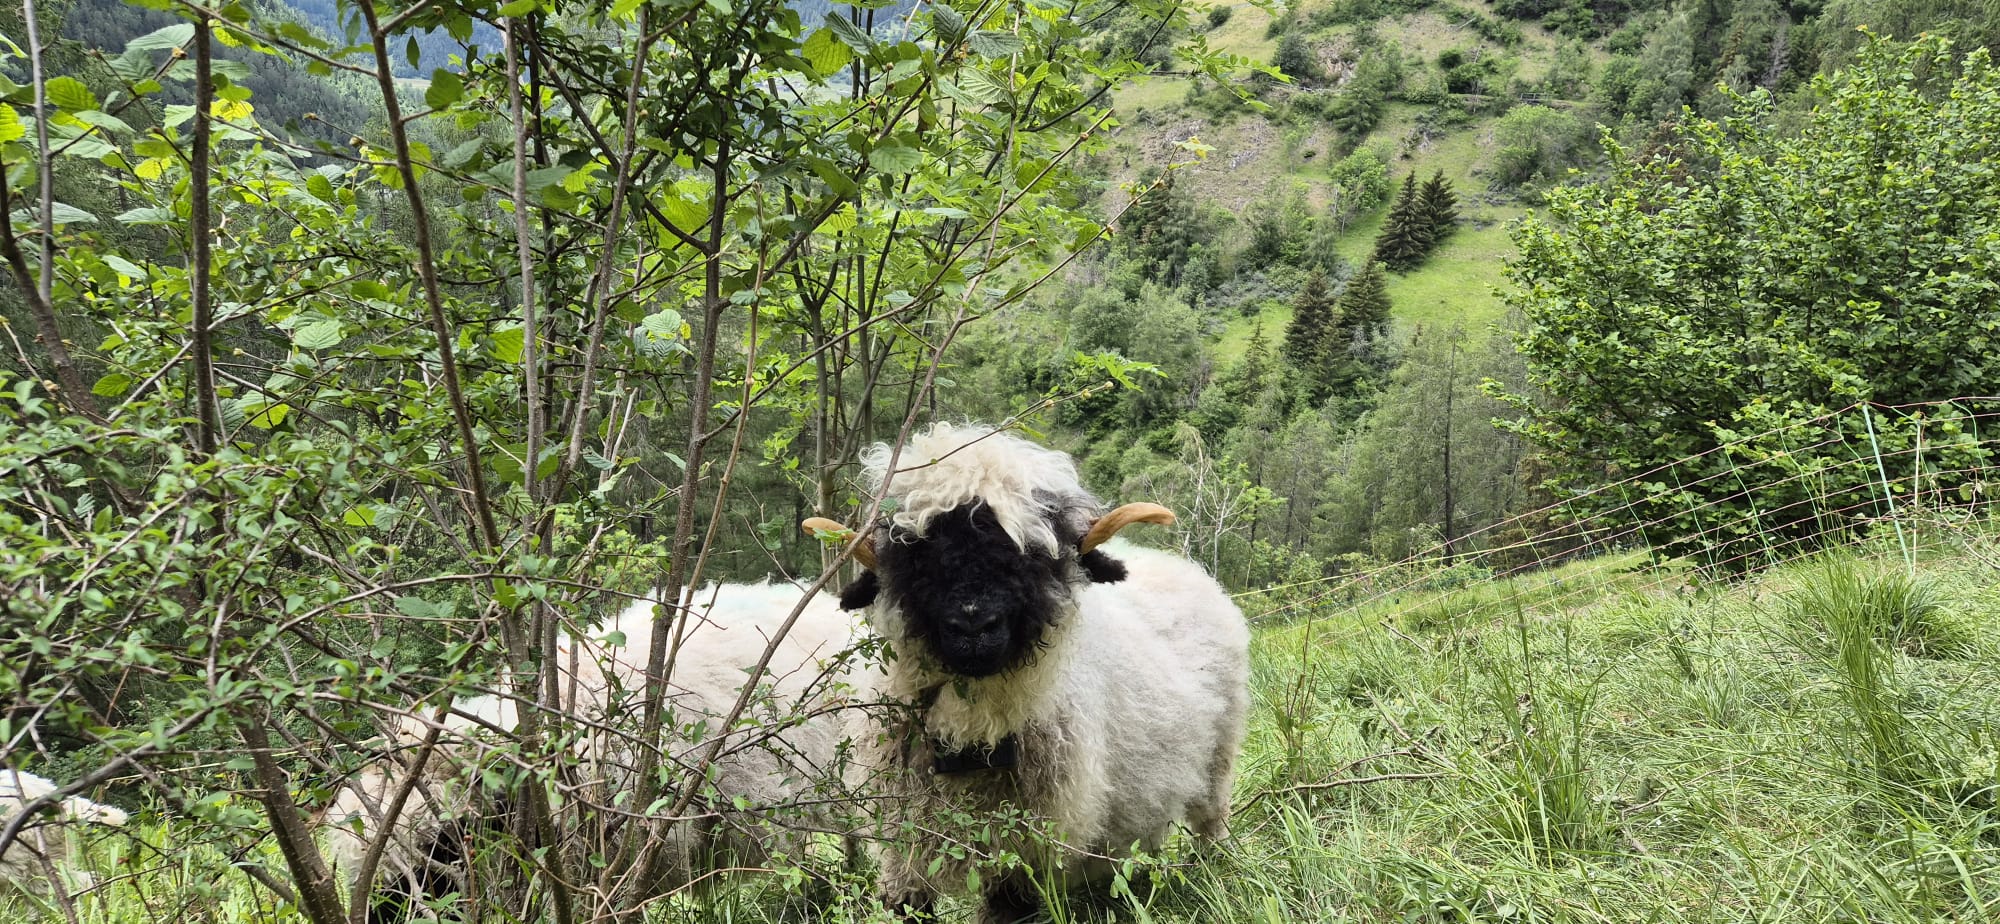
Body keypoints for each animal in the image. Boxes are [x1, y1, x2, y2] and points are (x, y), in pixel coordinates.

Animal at [805, 422, 1251, 923]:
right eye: (913, 556)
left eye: (1034, 555)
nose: (973, 626)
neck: (972, 736)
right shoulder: (901, 843)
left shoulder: (1024, 847)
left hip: (1218, 761)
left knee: (1211, 819)